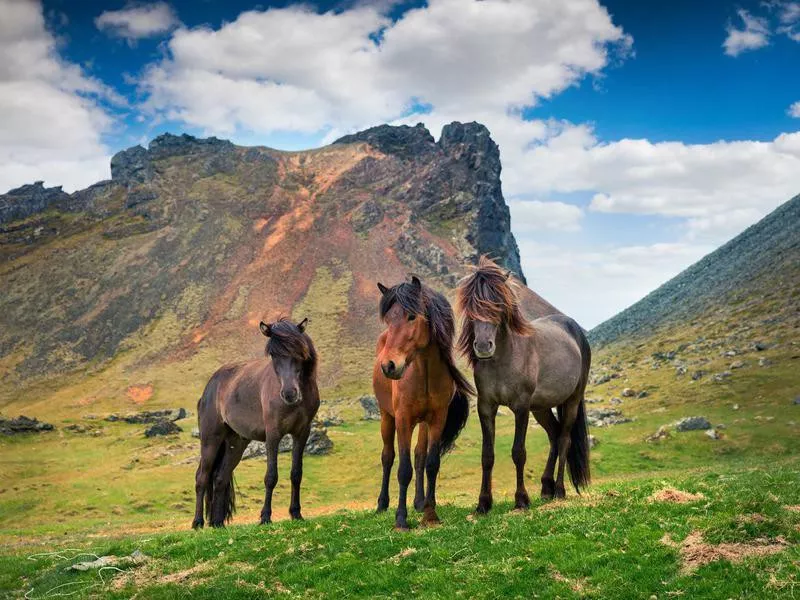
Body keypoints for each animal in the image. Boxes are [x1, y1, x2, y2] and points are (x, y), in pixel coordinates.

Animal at [193, 316, 318, 528]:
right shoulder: (273, 434)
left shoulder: (302, 433)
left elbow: (296, 474)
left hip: (236, 443)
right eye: (273, 355)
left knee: (220, 478)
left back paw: (217, 523)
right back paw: (198, 522)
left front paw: (296, 513)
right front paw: (265, 517)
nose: (289, 393)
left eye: (298, 352)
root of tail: (210, 386)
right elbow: (271, 476)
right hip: (211, 439)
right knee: (202, 477)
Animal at [372, 276, 472, 528]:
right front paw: (400, 519)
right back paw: (381, 505)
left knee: (419, 456)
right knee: (388, 457)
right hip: (386, 417)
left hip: (423, 424)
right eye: (389, 319)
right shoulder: (403, 419)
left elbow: (430, 463)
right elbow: (403, 469)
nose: (389, 365)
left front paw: (430, 513)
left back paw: (419, 502)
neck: (424, 373)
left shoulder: (437, 419)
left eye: (411, 316)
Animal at [454, 255, 592, 512]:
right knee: (554, 436)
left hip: (571, 400)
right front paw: (483, 503)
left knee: (564, 439)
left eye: (497, 304)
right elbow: (487, 455)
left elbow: (519, 452)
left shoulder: (521, 407)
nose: (483, 346)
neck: (504, 359)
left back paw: (559, 490)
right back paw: (546, 487)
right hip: (541, 408)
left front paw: (521, 499)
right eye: (471, 305)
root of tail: (574, 329)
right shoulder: (486, 407)